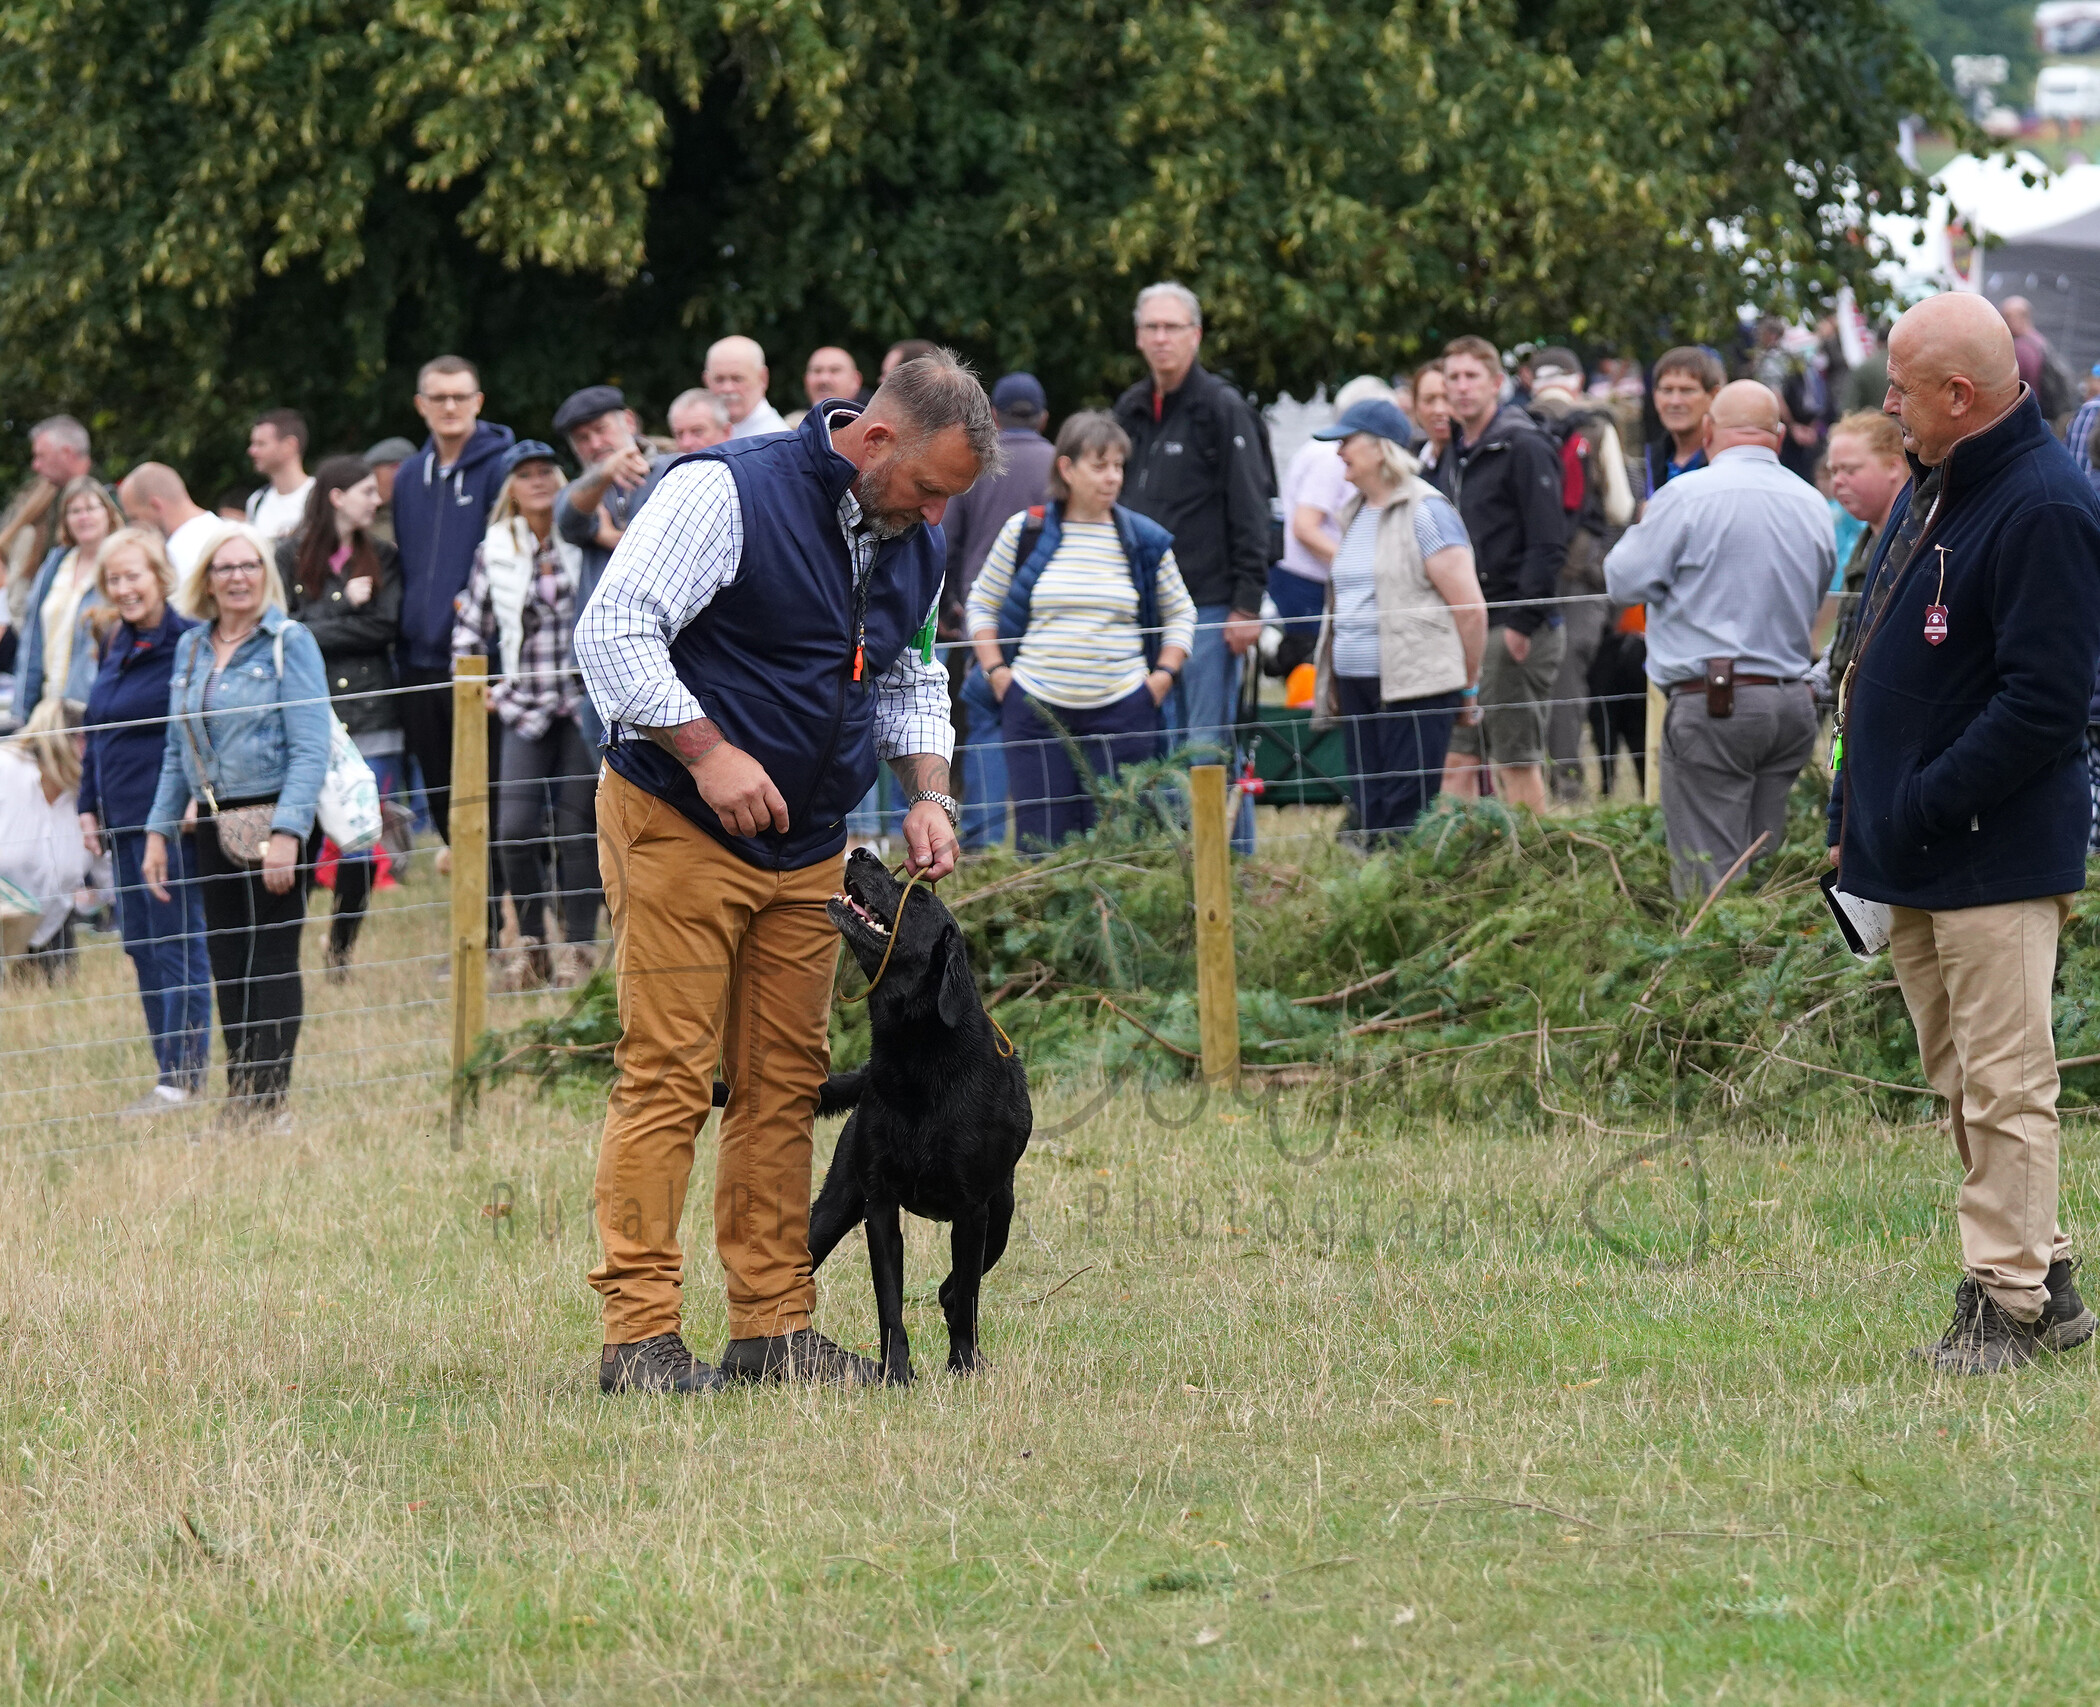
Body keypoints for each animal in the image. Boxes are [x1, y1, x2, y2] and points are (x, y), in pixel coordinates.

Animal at [806, 844, 1029, 1377]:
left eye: (922, 899)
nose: (860, 850)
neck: (913, 1060)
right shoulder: (879, 1205)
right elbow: (890, 1302)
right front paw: (896, 1373)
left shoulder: (973, 1210)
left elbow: (965, 1295)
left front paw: (964, 1366)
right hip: (835, 1203)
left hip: (1003, 1213)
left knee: (959, 1290)